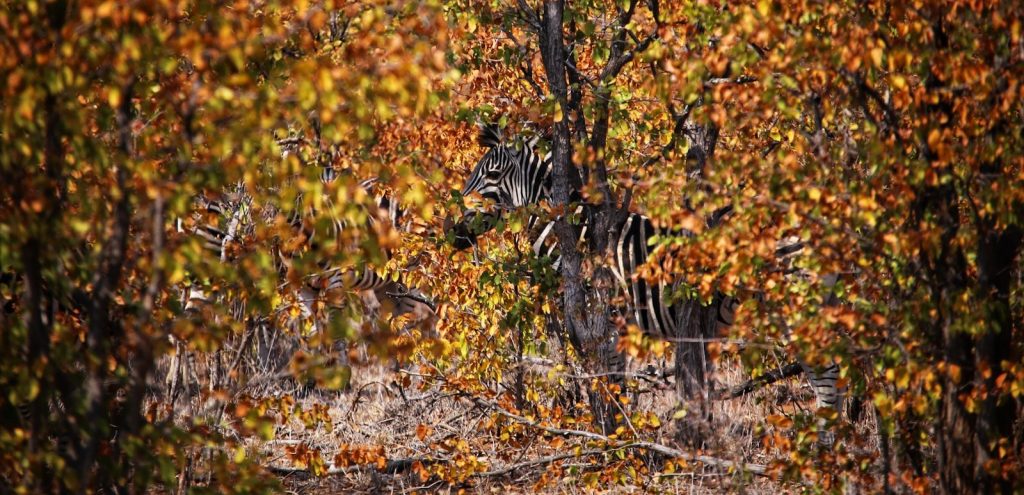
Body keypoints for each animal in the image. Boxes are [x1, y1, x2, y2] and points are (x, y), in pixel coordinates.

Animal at [445, 123, 845, 437]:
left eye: (492, 175)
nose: (449, 228)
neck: (581, 235)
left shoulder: (608, 320)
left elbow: (612, 385)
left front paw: (618, 443)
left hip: (795, 308)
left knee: (826, 378)